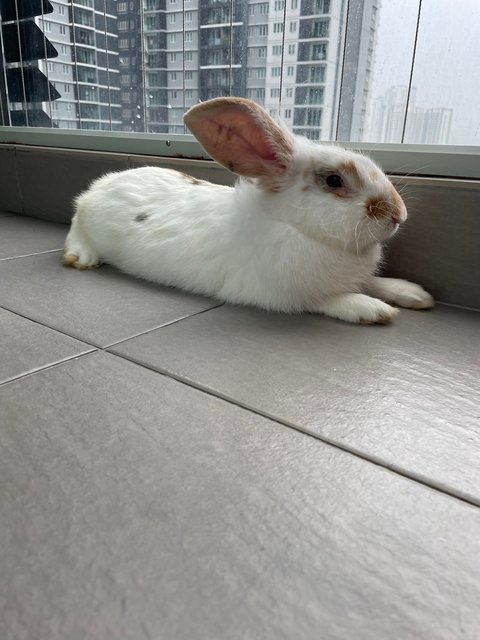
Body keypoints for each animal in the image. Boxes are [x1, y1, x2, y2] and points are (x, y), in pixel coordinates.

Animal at [62, 97, 434, 324]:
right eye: (334, 180)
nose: (399, 214)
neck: (292, 226)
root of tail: (99, 186)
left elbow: (373, 282)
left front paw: (412, 293)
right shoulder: (284, 294)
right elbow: (332, 300)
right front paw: (374, 309)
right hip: (85, 219)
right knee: (75, 223)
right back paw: (81, 257)